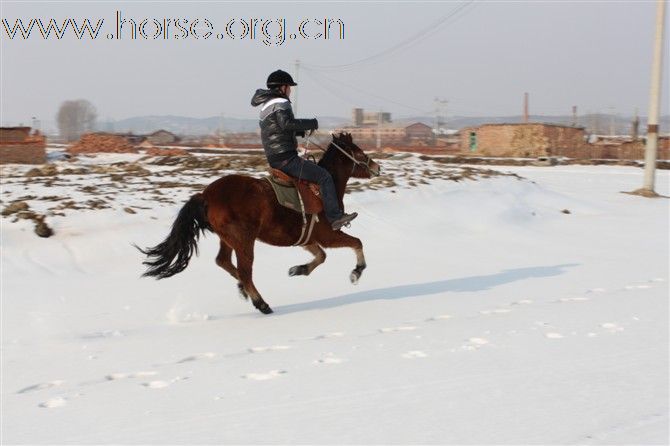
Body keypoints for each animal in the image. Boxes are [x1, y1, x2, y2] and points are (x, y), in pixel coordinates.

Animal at [136, 132, 380, 314]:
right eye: (359, 152)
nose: (377, 167)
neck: (322, 188)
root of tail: (205, 196)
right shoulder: (328, 235)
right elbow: (356, 242)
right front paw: (356, 272)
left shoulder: (306, 239)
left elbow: (321, 256)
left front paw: (298, 269)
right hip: (244, 240)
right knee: (245, 271)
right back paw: (261, 303)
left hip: (228, 238)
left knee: (223, 261)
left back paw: (244, 289)